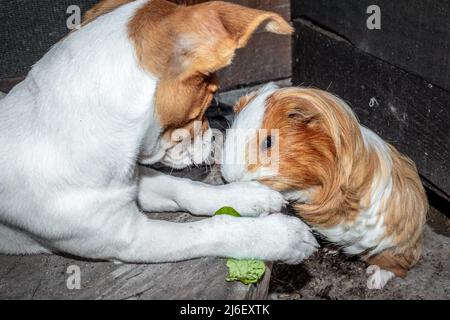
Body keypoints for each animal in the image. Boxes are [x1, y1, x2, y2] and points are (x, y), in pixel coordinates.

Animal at [0, 1, 318, 264]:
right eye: (207, 102)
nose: (215, 138)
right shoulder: (129, 238)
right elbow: (211, 229)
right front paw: (278, 237)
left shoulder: (132, 184)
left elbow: (184, 188)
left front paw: (245, 195)